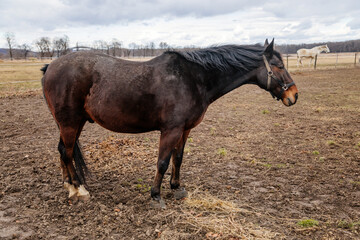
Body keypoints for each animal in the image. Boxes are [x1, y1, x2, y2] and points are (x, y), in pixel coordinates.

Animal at [40, 39, 298, 206]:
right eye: (279, 66)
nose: (294, 95)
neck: (193, 78)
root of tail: (51, 65)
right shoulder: (171, 130)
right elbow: (163, 162)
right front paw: (156, 195)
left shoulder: (184, 130)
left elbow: (178, 158)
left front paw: (176, 188)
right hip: (70, 123)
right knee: (67, 153)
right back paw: (78, 191)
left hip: (75, 123)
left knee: (63, 150)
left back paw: (69, 186)